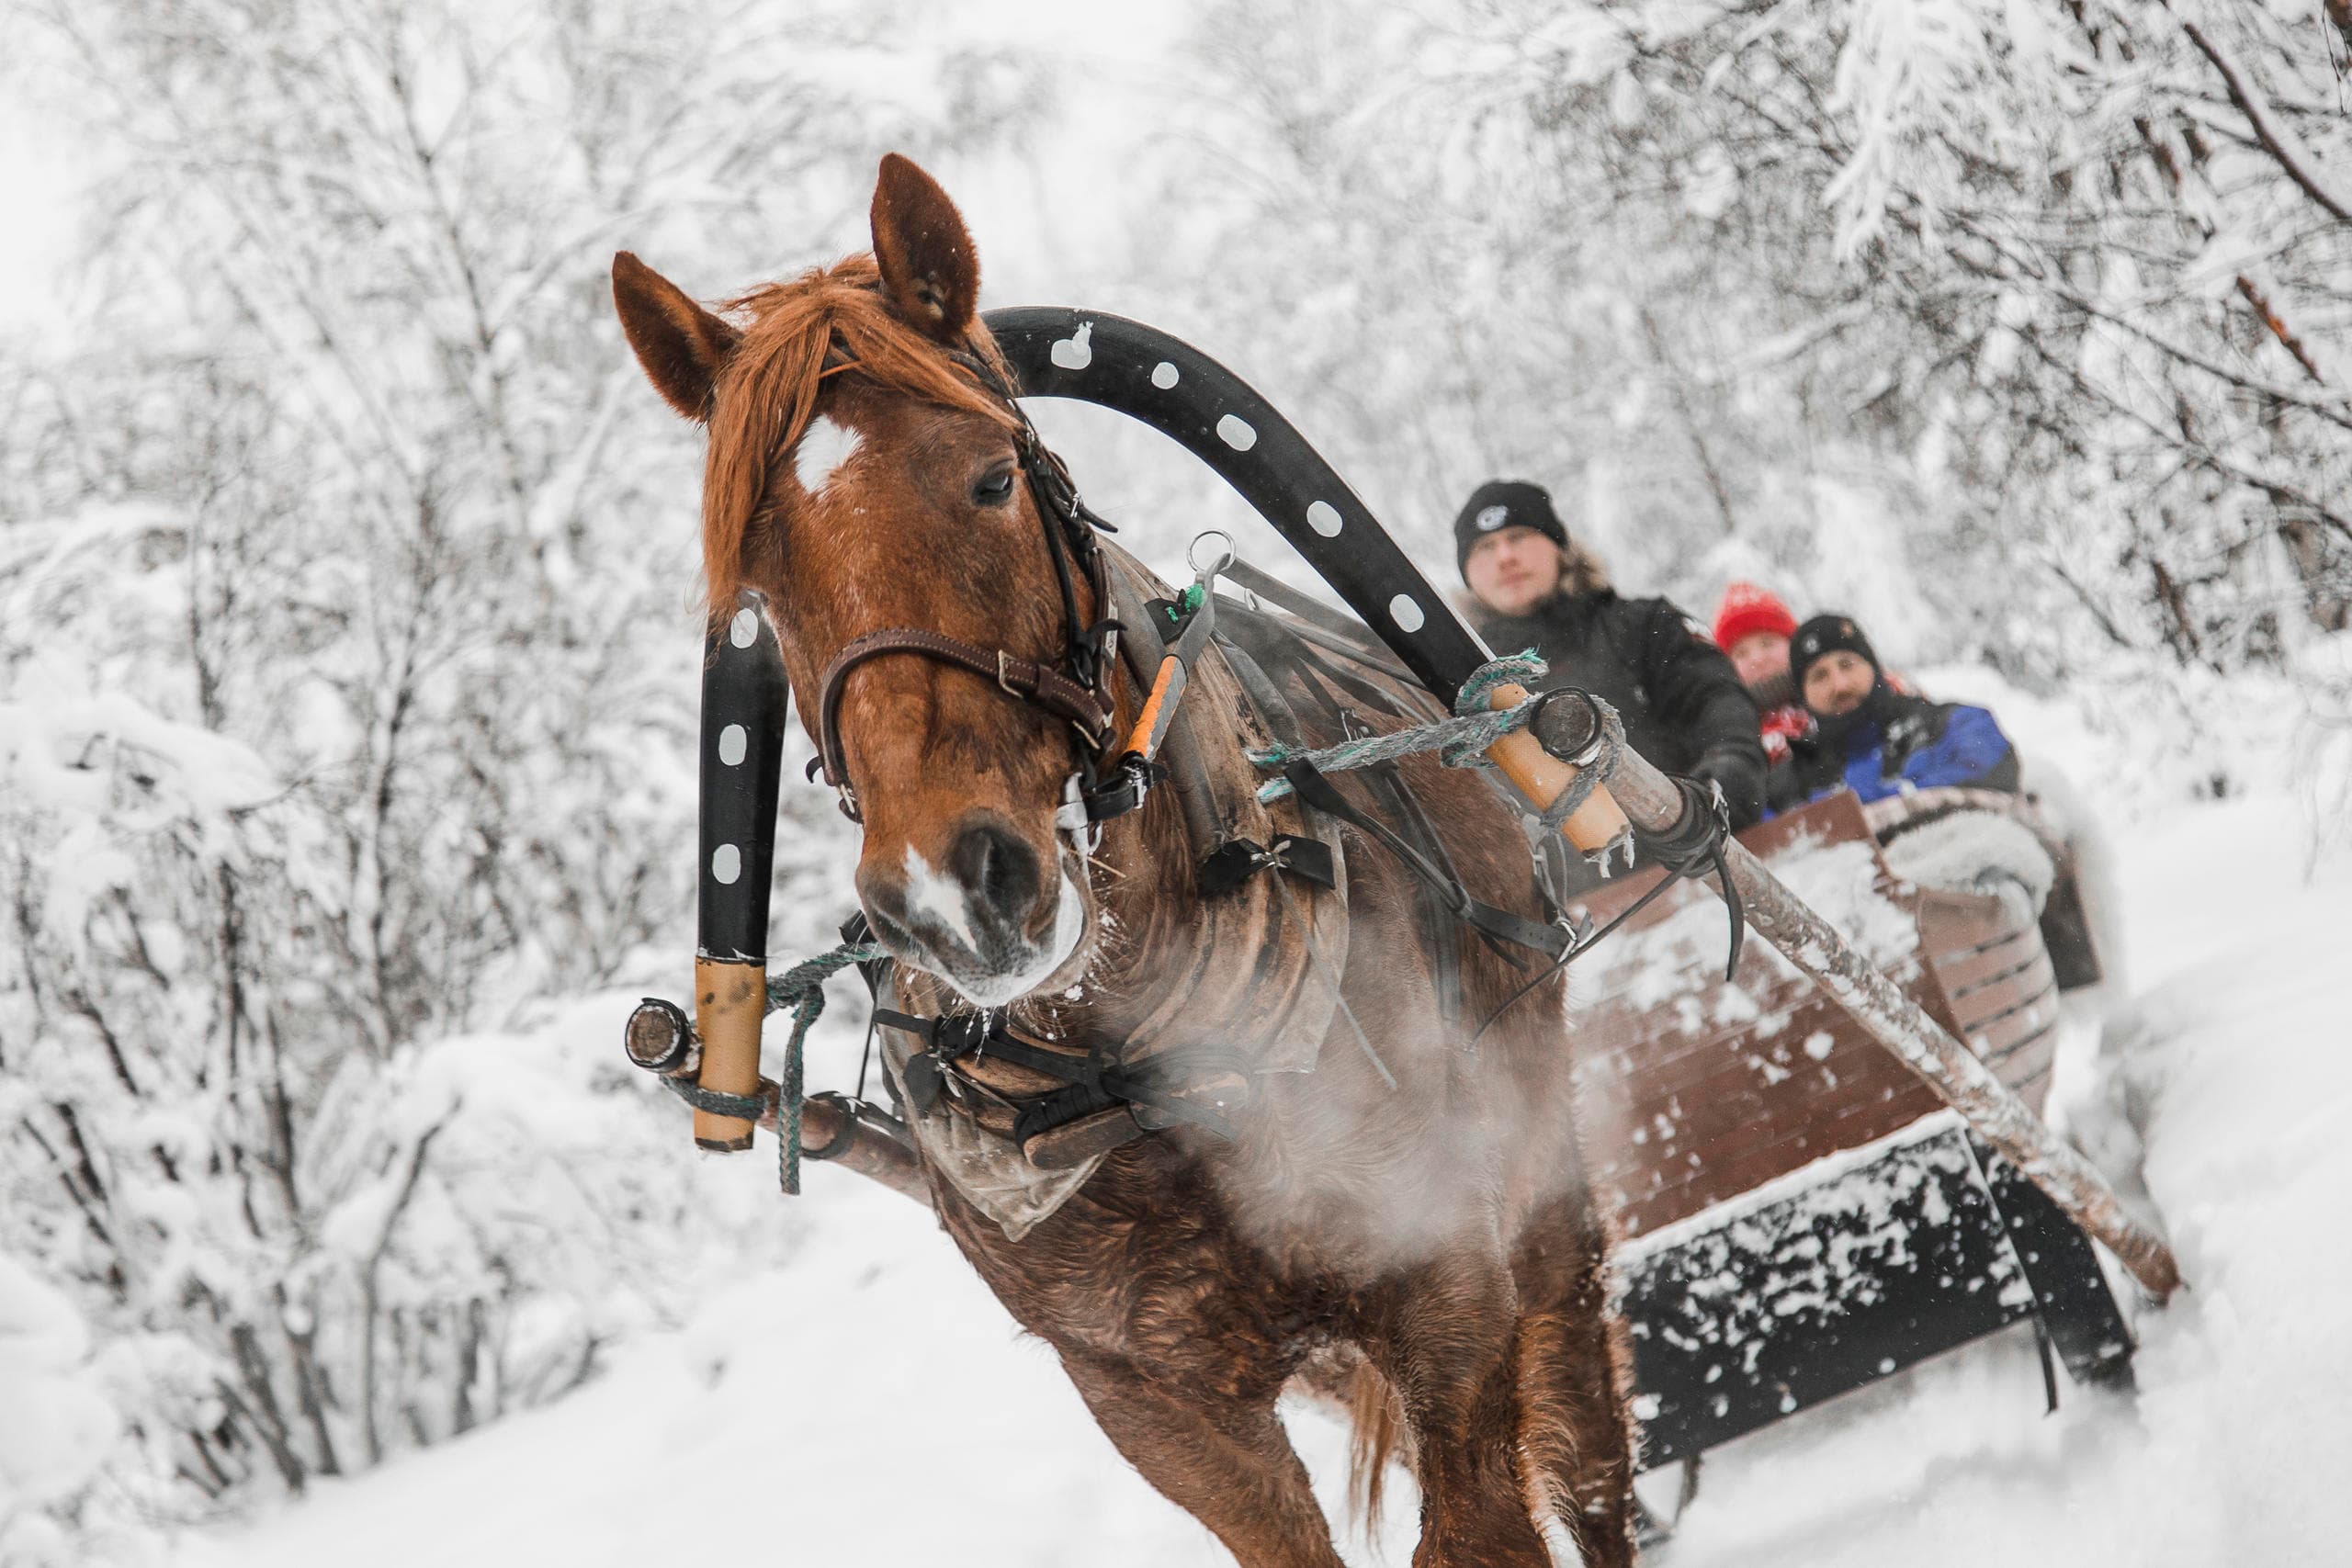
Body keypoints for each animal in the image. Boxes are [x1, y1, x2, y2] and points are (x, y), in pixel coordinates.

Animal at [611, 152, 1638, 1567]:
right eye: (756, 581)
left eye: (991, 479)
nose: (950, 893)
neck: (1141, 1062)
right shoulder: (1157, 1405)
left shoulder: (1446, 1286)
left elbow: (1488, 1509)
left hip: (1535, 1177)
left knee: (1585, 1446)